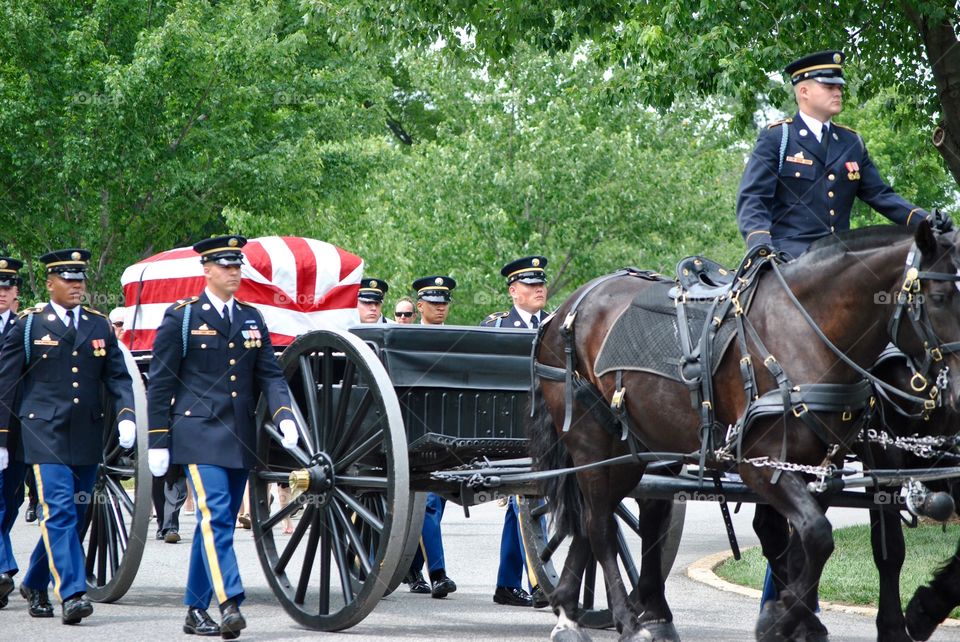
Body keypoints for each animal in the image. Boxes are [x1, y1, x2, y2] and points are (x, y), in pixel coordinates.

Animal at [528, 221, 960, 640]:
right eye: (940, 297)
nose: (956, 391)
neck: (804, 333)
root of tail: (566, 308)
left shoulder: (824, 467)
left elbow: (807, 544)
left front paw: (792, 618)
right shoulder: (760, 464)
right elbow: (822, 536)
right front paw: (782, 620)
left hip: (635, 450)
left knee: (615, 519)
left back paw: (575, 611)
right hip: (592, 444)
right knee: (600, 526)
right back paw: (627, 622)